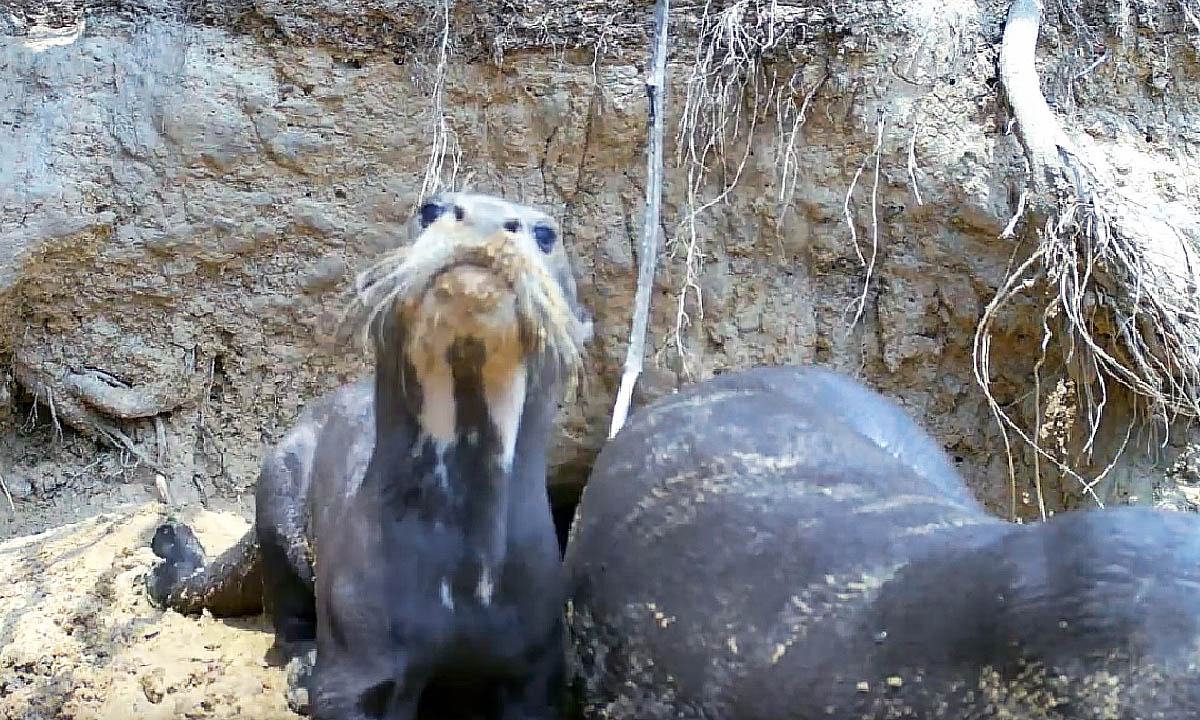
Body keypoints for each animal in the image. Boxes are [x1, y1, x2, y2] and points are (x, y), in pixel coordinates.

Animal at [147, 190, 592, 720]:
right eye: (430, 208)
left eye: (546, 233)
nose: (484, 219)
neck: (458, 579)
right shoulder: (361, 659)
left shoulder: (536, 667)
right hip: (278, 492)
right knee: (288, 610)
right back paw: (302, 670)